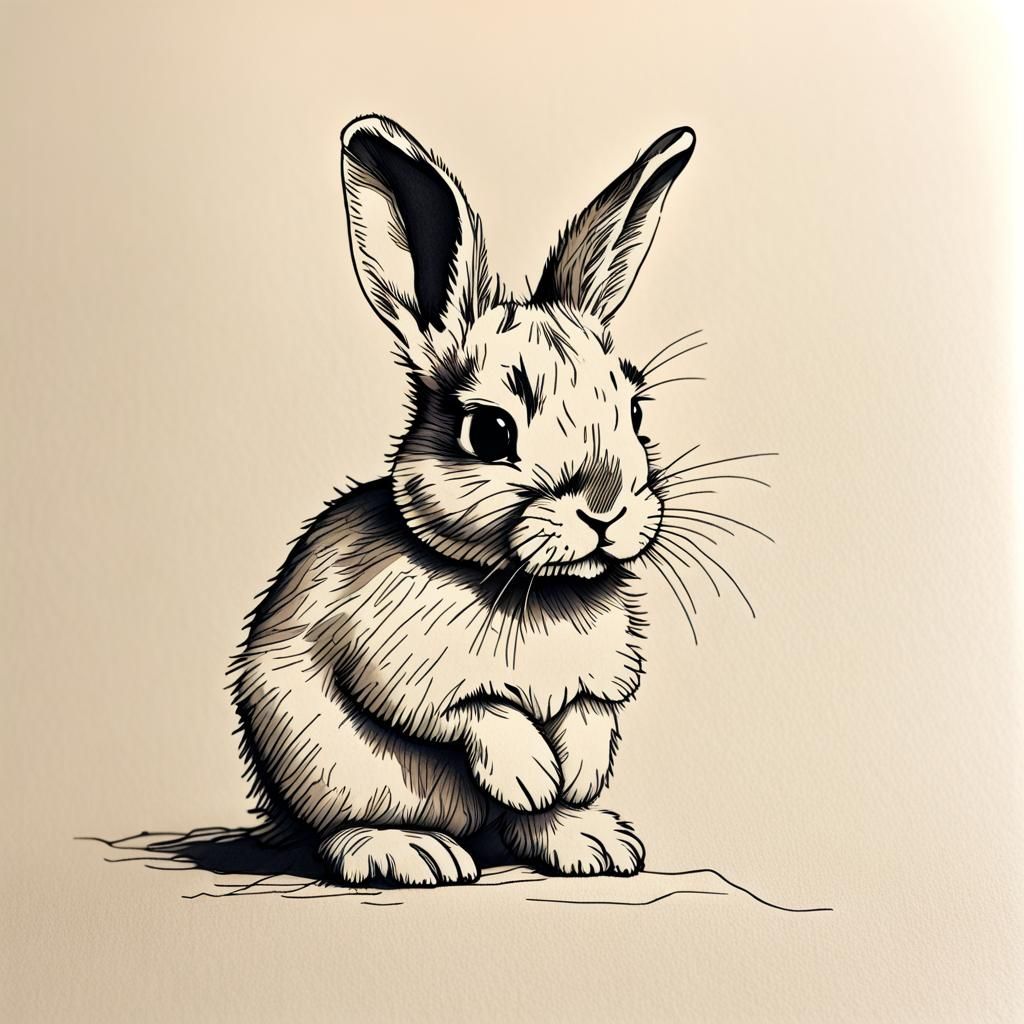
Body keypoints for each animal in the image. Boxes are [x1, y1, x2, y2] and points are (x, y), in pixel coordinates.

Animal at [230, 114, 697, 886]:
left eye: (635, 411)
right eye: (491, 431)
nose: (604, 509)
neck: (536, 587)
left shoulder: (600, 684)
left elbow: (591, 712)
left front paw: (577, 776)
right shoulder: (403, 671)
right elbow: (473, 712)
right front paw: (535, 773)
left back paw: (593, 841)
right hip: (325, 768)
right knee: (339, 832)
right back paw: (409, 852)